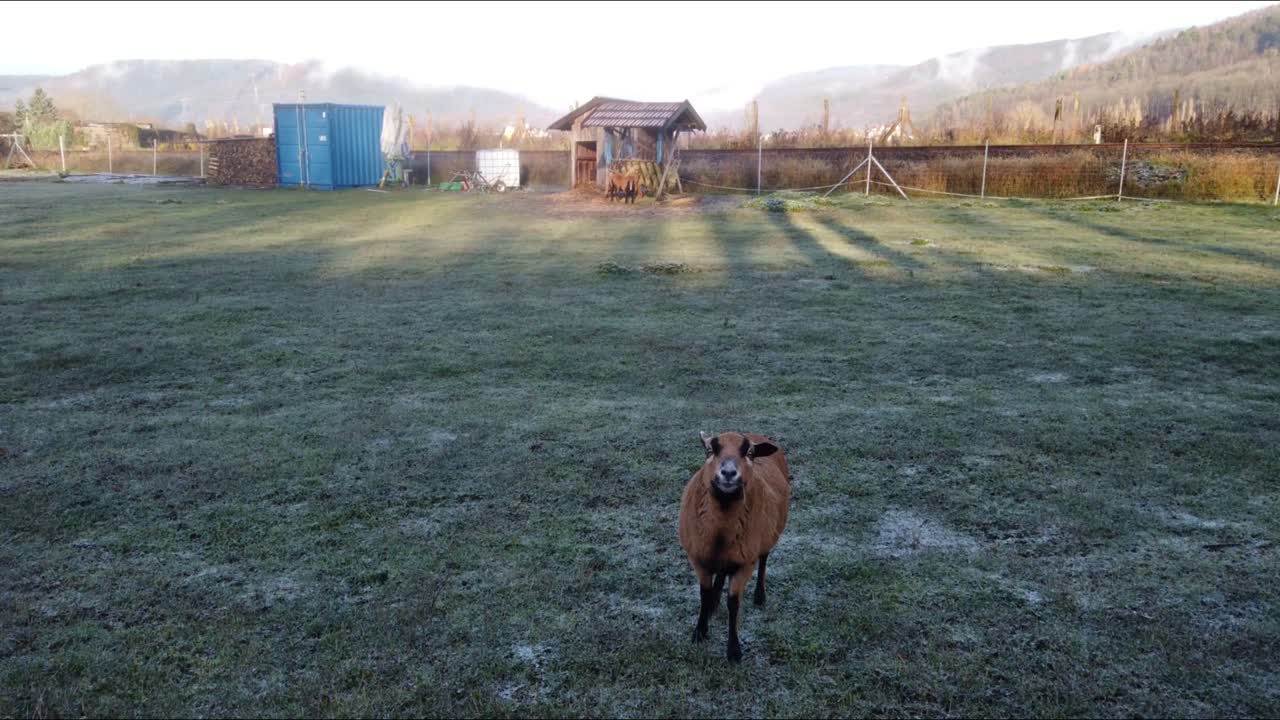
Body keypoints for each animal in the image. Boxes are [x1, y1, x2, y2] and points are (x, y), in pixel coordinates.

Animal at [678, 431, 791, 661]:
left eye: (750, 453)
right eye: (710, 450)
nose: (729, 473)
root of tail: (756, 434)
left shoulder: (744, 563)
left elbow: (734, 603)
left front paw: (734, 650)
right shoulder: (699, 560)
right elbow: (704, 595)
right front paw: (700, 631)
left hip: (767, 536)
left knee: (763, 560)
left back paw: (759, 596)